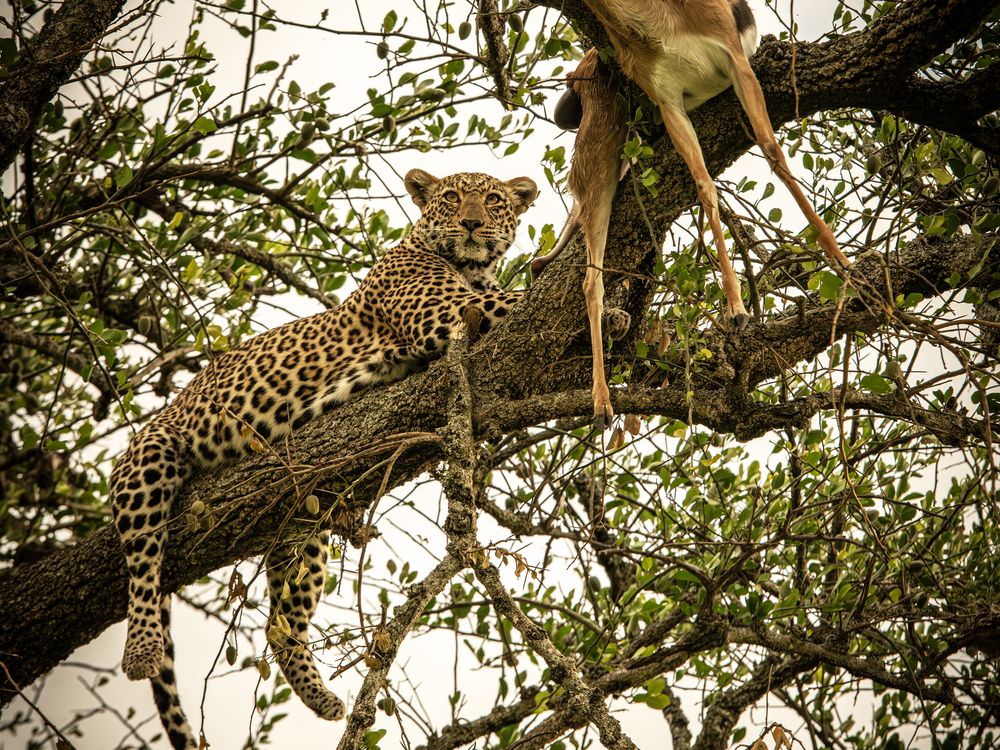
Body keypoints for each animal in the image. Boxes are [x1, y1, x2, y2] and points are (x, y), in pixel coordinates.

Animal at [109, 168, 631, 749]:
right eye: (452, 197)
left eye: (493, 200)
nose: (472, 222)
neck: (472, 269)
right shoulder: (449, 313)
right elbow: (519, 301)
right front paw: (611, 310)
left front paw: (608, 313)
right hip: (151, 456)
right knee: (142, 563)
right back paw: (141, 650)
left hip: (302, 526)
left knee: (279, 620)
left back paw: (323, 699)